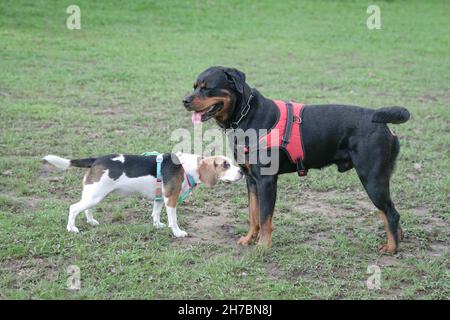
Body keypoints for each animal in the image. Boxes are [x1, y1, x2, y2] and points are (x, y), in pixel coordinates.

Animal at [43, 152, 243, 238]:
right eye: (225, 165)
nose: (242, 171)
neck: (188, 167)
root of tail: (96, 159)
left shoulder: (159, 197)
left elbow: (155, 213)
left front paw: (157, 225)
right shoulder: (171, 199)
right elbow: (174, 219)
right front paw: (177, 232)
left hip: (94, 195)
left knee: (86, 209)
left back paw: (91, 222)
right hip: (95, 195)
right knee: (73, 208)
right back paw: (72, 228)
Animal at [183, 66, 412, 254]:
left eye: (207, 88)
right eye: (194, 87)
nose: (185, 100)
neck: (245, 116)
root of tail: (381, 122)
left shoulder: (266, 181)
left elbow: (265, 218)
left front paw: (263, 246)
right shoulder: (251, 180)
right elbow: (253, 215)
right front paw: (249, 239)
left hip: (371, 178)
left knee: (391, 213)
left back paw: (392, 248)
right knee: (389, 212)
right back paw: (397, 239)